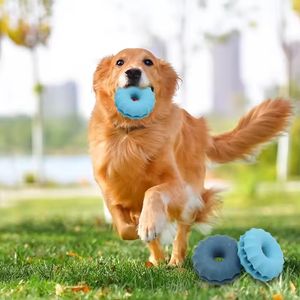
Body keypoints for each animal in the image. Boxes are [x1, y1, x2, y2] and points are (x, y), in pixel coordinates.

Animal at [88, 48, 292, 266]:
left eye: (148, 62)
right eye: (119, 62)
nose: (133, 72)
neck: (132, 133)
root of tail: (201, 130)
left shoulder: (179, 186)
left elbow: (153, 191)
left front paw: (148, 225)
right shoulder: (110, 189)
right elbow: (122, 224)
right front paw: (139, 229)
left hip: (189, 197)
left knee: (182, 232)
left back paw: (175, 261)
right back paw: (156, 260)